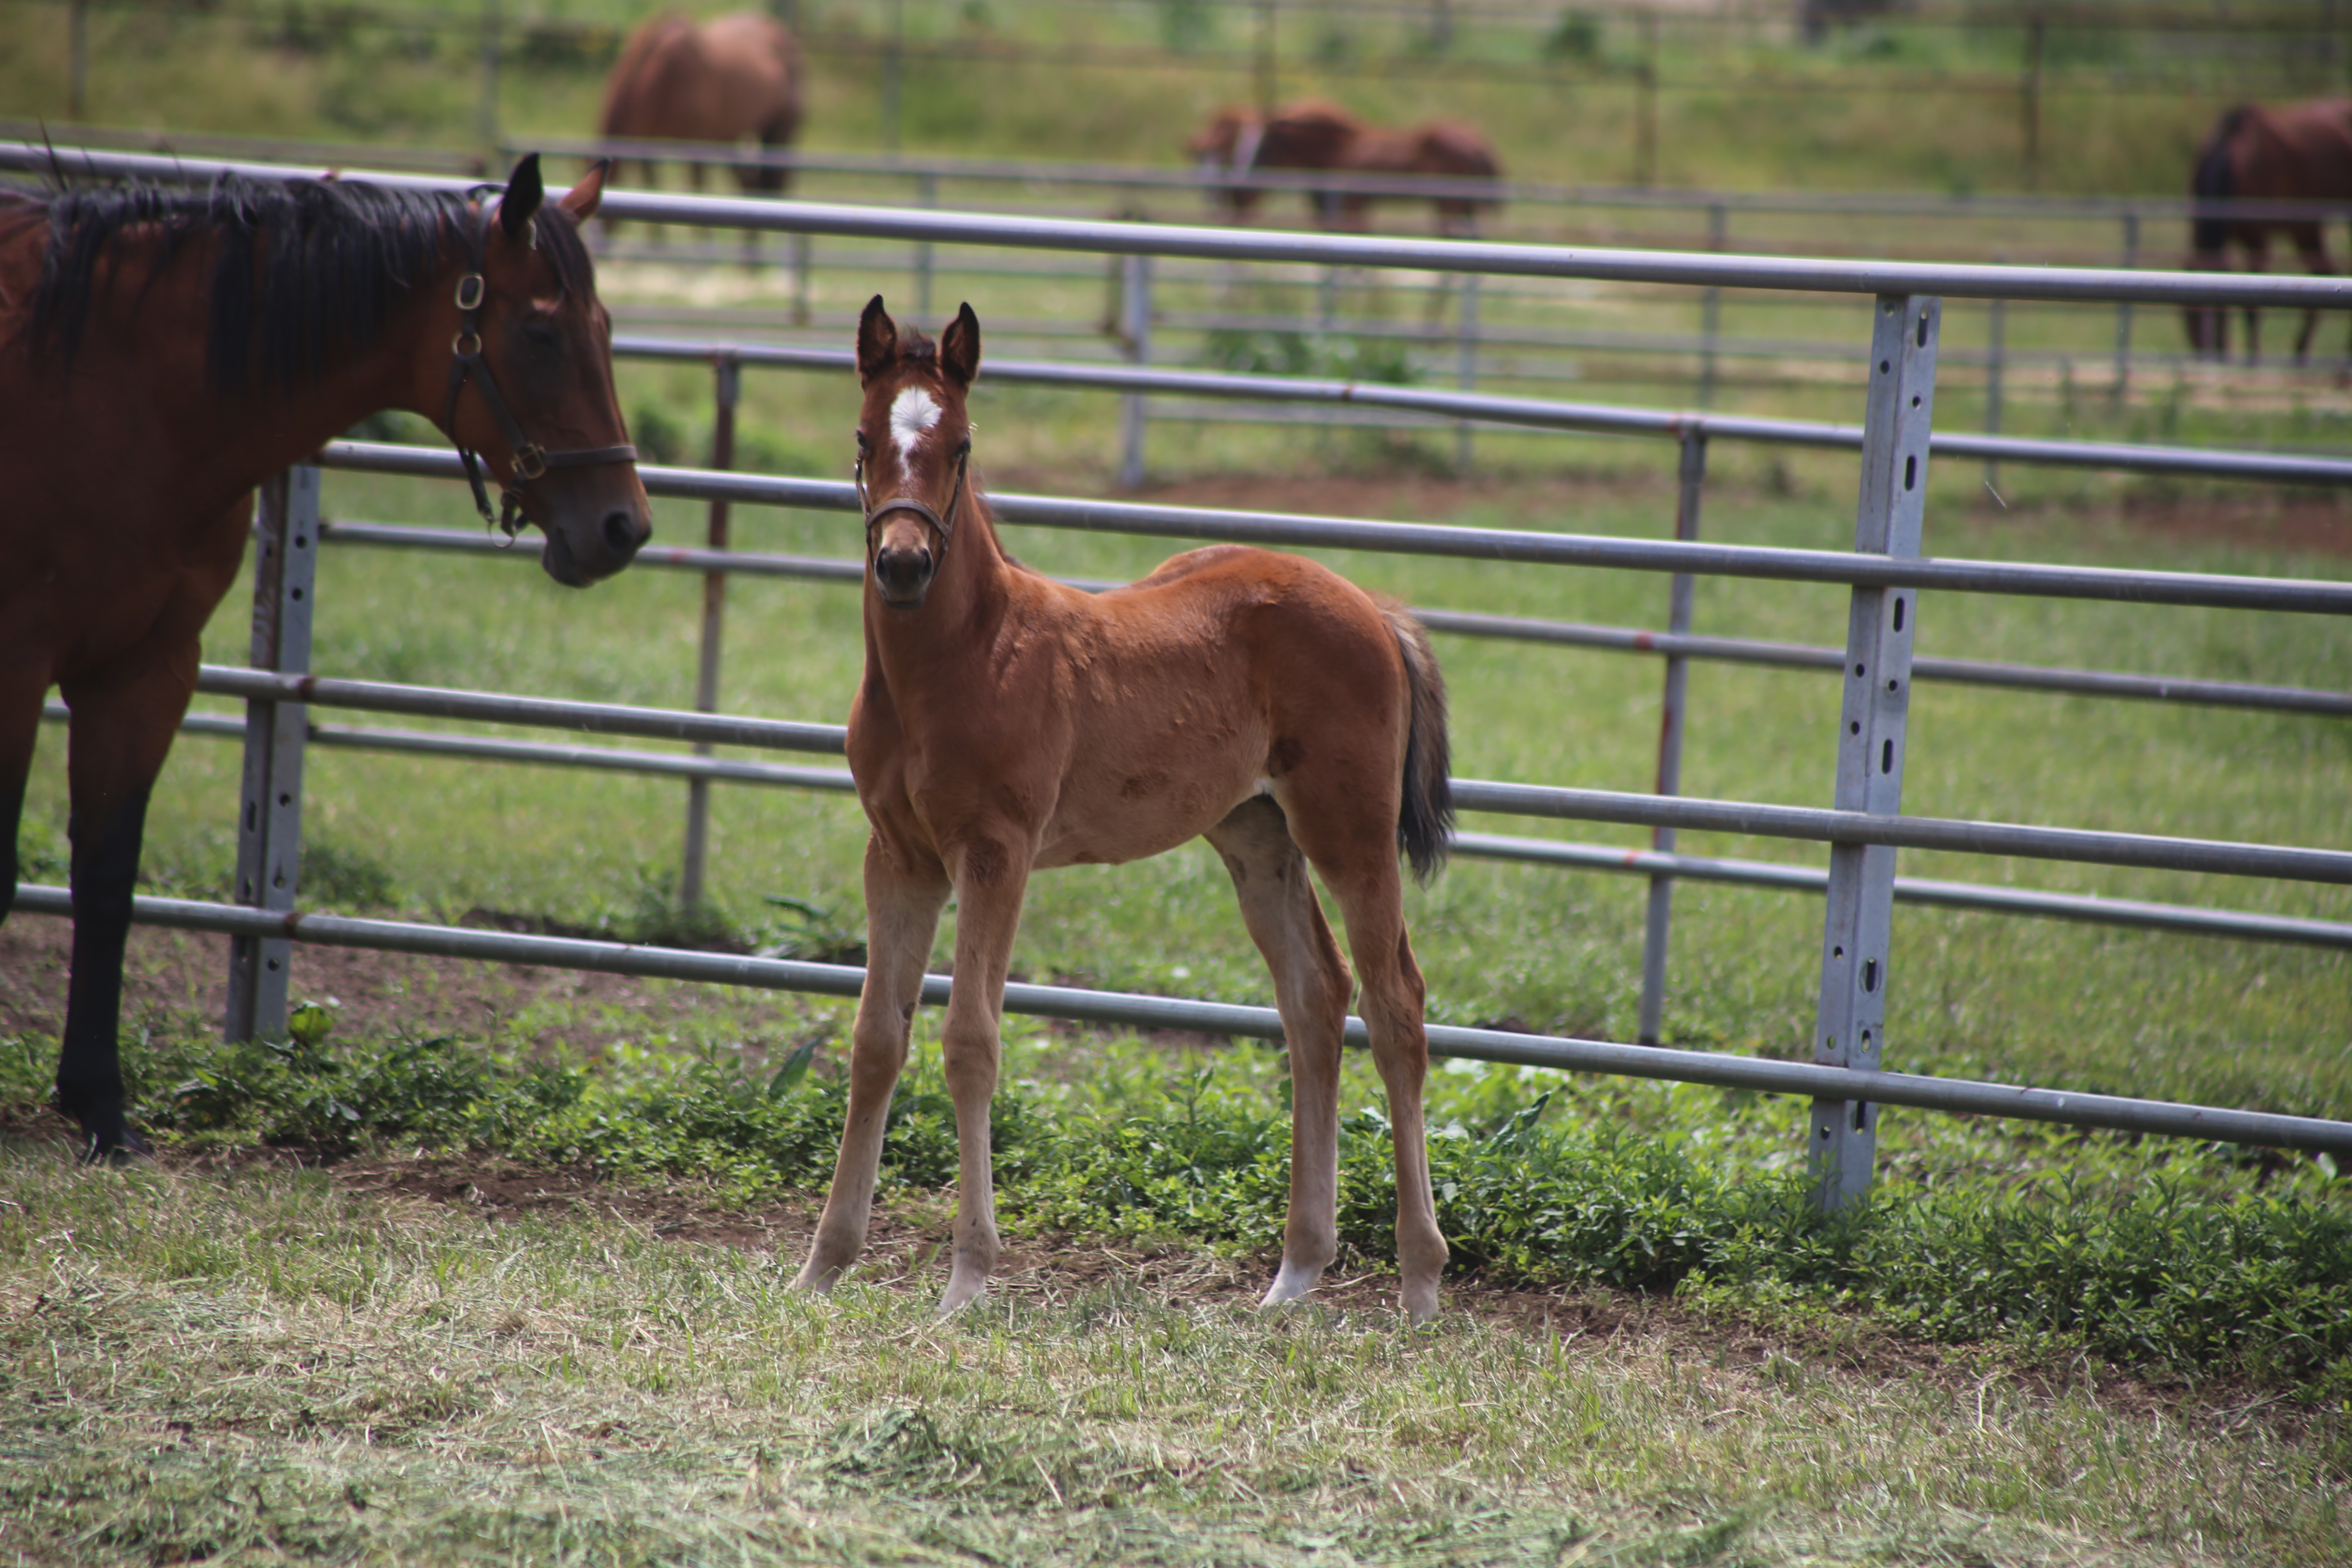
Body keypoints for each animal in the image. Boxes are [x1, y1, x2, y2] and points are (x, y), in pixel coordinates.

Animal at [2, 156, 654, 1166]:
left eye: (608, 330)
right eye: (542, 333)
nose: (625, 527)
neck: (115, 377)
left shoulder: (146, 670)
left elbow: (107, 880)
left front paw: (102, 1109)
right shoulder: (19, 656)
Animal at [790, 297, 1449, 1326]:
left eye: (962, 444)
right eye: (863, 438)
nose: (902, 565)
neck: (963, 658)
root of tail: (1372, 606)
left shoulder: (996, 851)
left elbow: (970, 1038)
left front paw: (967, 1278)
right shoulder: (897, 857)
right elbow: (872, 1041)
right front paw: (822, 1266)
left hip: (1349, 832)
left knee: (1395, 1006)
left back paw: (1419, 1279)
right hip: (1255, 836)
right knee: (1314, 999)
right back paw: (1295, 1273)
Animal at [1185, 98, 1496, 237]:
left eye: (1262, 151)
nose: (1239, 196)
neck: (1337, 149)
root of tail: (1478, 145)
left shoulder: (1351, 209)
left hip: (1448, 206)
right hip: (1461, 208)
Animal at [2183, 101, 2352, 362]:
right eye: (2185, 315)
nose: (2206, 351)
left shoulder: (2258, 238)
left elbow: (2252, 306)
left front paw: (2253, 358)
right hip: (2306, 228)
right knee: (2323, 270)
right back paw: (2302, 350)